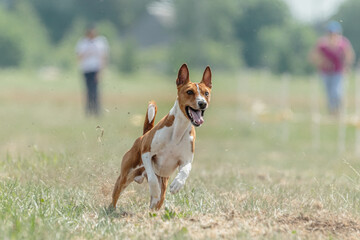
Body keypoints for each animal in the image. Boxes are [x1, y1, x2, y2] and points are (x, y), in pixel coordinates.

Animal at [109, 63, 211, 210]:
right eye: (189, 92)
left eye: (206, 93)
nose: (202, 103)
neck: (178, 130)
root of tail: (144, 135)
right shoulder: (146, 153)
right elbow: (152, 178)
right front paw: (155, 190)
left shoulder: (186, 160)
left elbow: (185, 171)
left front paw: (177, 184)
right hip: (125, 177)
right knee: (116, 196)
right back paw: (111, 210)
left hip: (162, 182)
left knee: (158, 201)